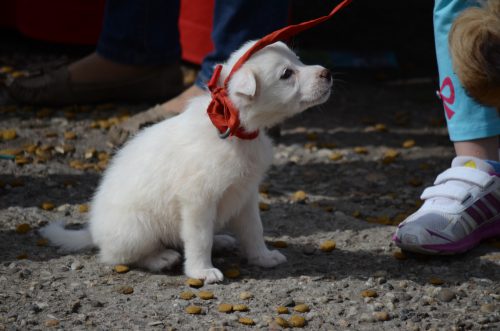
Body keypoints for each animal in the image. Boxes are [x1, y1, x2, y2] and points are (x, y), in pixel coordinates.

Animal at [42, 40, 332, 284]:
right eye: (286, 74)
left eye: (298, 60)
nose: (327, 72)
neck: (235, 130)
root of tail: (93, 232)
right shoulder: (198, 200)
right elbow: (199, 239)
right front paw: (202, 271)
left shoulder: (246, 194)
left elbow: (254, 229)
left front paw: (263, 257)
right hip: (137, 227)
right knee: (120, 256)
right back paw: (161, 257)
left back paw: (221, 240)